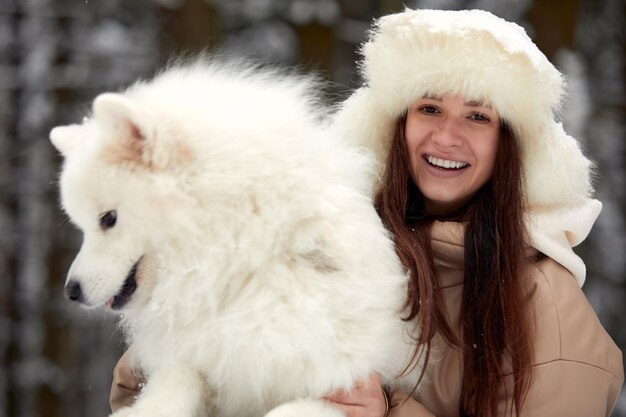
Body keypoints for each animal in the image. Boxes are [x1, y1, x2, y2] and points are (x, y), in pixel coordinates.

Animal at [52, 59, 414, 416]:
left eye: (108, 219)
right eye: (82, 224)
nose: (71, 291)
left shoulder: (340, 384)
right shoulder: (200, 359)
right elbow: (174, 385)